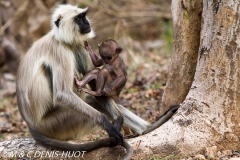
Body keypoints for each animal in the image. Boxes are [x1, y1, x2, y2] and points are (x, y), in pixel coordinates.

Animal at [15, 3, 179, 158]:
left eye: (84, 16)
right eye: (79, 18)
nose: (87, 22)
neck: (61, 39)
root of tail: (31, 125)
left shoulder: (78, 46)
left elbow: (97, 88)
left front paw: (119, 121)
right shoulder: (59, 51)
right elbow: (62, 93)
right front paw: (109, 125)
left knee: (98, 101)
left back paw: (148, 128)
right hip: (56, 124)